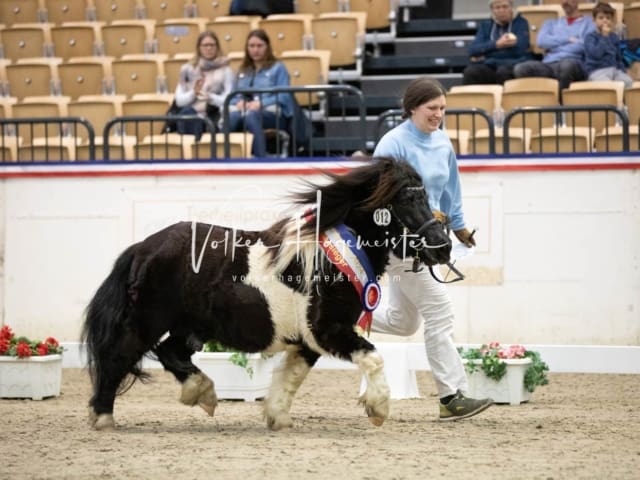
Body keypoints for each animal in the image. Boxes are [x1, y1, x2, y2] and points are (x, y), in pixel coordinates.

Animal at [82, 158, 452, 432]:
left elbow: (291, 376)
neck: (331, 258)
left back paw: (203, 394)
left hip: (190, 327)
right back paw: (103, 417)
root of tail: (143, 247)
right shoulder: (328, 331)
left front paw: (277, 417)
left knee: (169, 352)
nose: (443, 246)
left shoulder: (308, 340)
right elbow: (373, 358)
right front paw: (378, 408)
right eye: (407, 199)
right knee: (118, 356)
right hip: (148, 320)